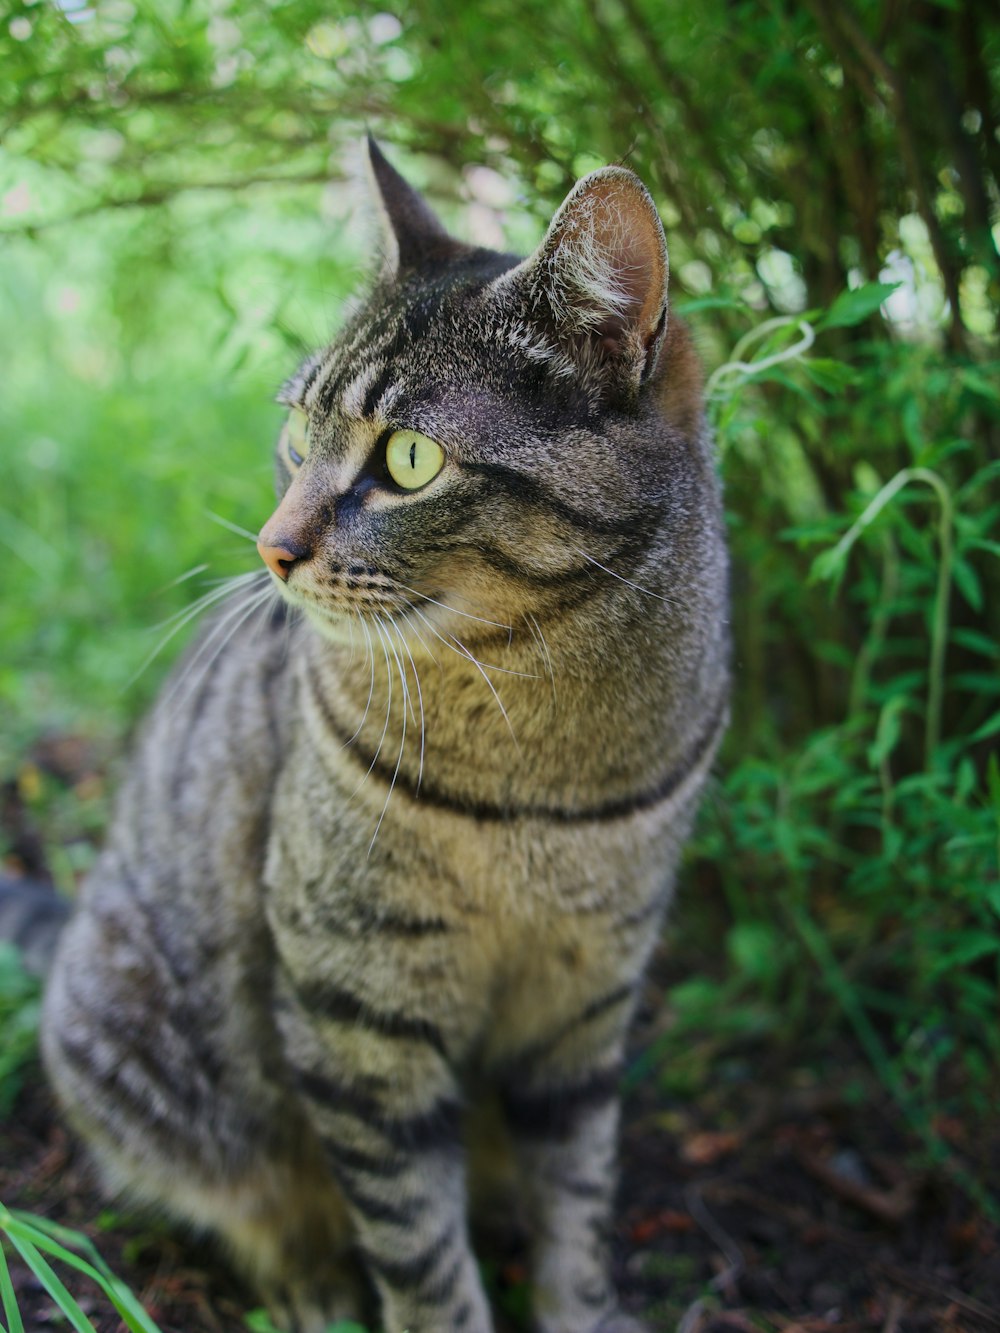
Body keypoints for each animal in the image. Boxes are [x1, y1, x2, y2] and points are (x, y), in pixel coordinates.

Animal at [41, 140, 730, 1327]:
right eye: (294, 437)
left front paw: (582, 1305)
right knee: (252, 1203)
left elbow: (578, 1202)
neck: (531, 751)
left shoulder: (586, 998)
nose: (271, 548)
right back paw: (309, 1287)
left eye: (409, 460)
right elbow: (417, 1244)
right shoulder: (358, 1006)